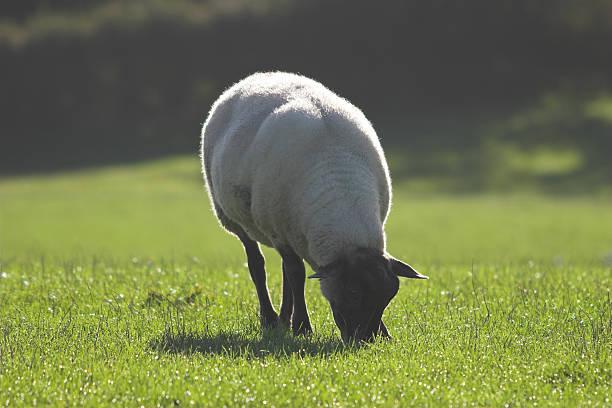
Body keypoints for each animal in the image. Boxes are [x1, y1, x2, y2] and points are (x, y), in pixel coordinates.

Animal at [201, 72, 426, 342]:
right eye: (353, 292)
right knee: (258, 265)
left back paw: (282, 319)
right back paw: (270, 319)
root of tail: (258, 76)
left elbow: (291, 274)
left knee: (283, 271)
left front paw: (384, 332)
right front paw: (302, 327)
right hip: (233, 218)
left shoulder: (291, 234)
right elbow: (296, 275)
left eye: (388, 297)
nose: (366, 339)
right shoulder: (279, 232)